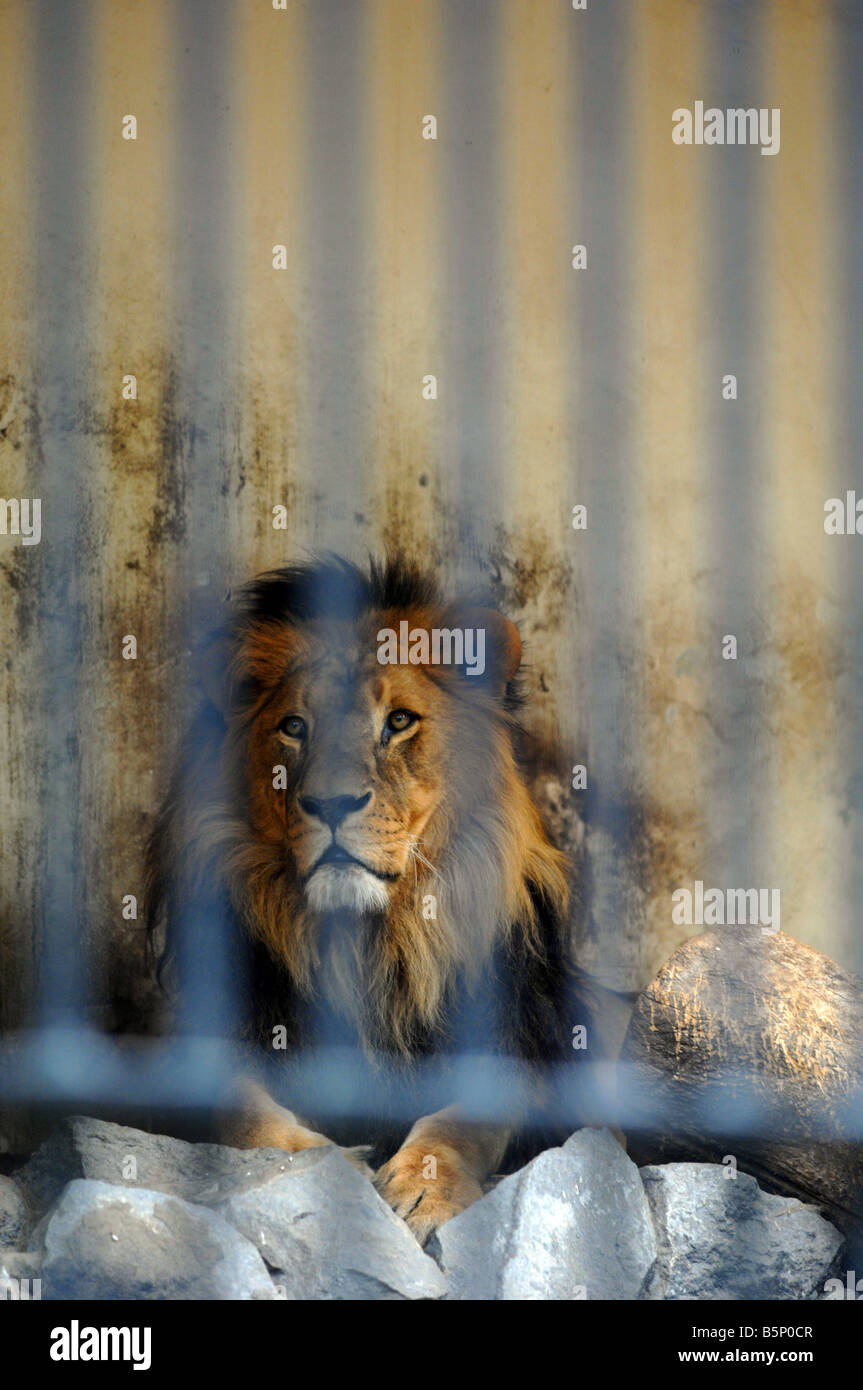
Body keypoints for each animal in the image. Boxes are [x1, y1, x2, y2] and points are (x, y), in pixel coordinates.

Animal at [146, 558, 592, 1245]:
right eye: (294, 727)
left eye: (399, 722)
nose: (331, 803)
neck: (363, 942)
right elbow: (243, 1116)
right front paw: (322, 1167)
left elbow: (467, 1123)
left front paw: (424, 1188)